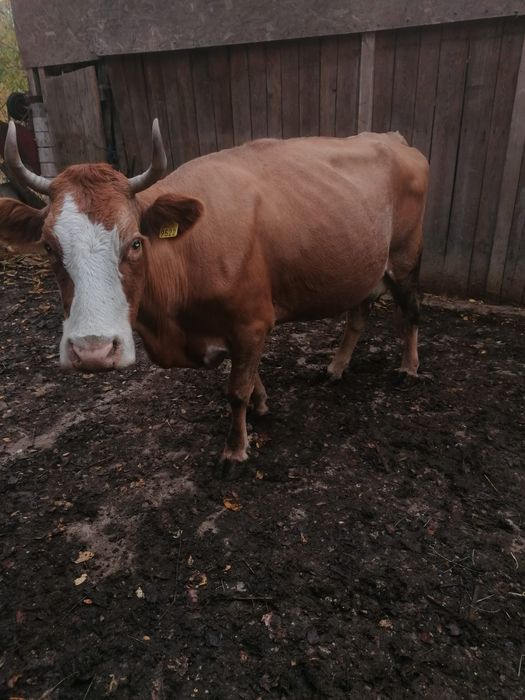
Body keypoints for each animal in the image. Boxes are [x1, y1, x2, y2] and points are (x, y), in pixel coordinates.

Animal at [0, 120, 429, 478]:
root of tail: (393, 138)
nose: (93, 351)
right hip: (367, 263)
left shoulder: (252, 322)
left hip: (405, 258)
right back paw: (336, 368)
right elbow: (250, 377)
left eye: (136, 242)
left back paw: (408, 369)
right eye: (49, 247)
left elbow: (236, 390)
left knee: (410, 313)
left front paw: (235, 452)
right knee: (359, 314)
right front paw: (261, 405)